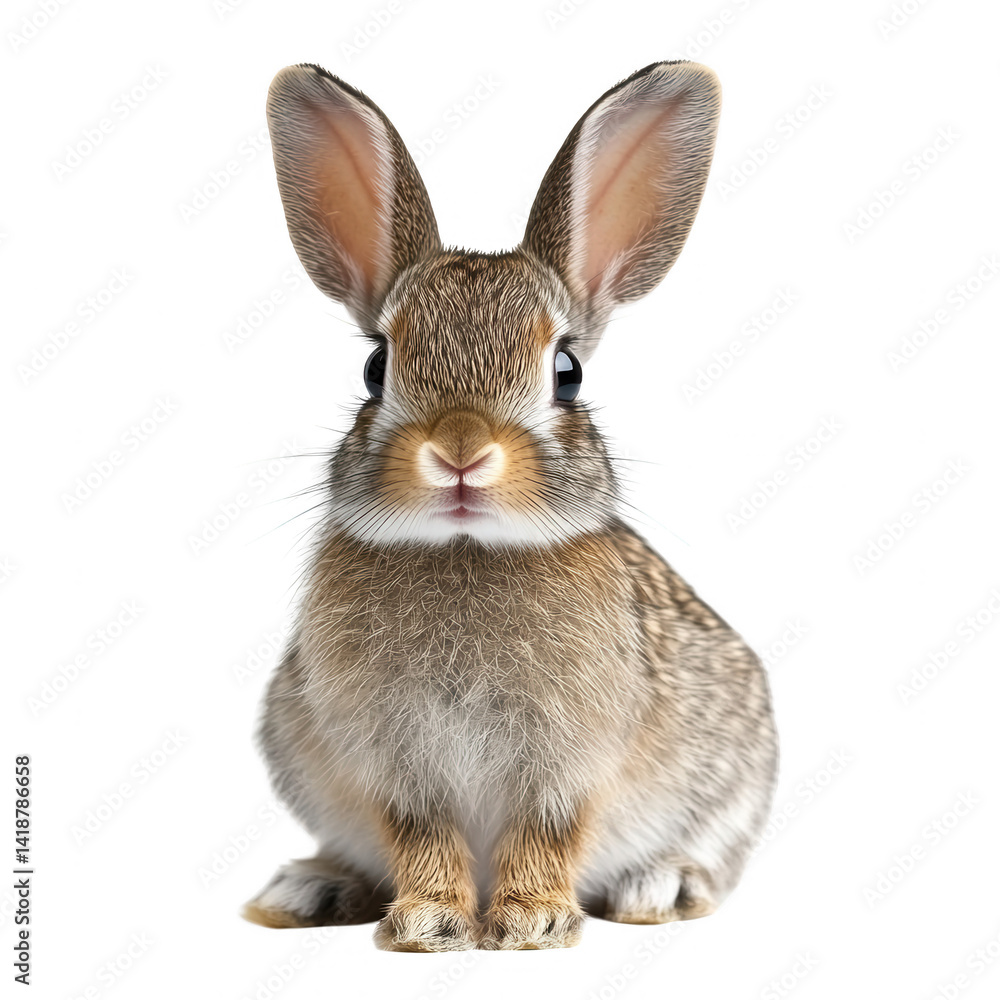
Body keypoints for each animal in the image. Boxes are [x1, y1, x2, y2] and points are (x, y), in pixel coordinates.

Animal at [242, 59, 778, 952]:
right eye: (375, 368)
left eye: (568, 372)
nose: (460, 450)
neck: (468, 551)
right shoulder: (394, 764)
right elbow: (421, 836)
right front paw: (429, 924)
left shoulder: (568, 762)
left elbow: (547, 832)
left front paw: (530, 922)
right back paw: (309, 889)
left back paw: (661, 886)